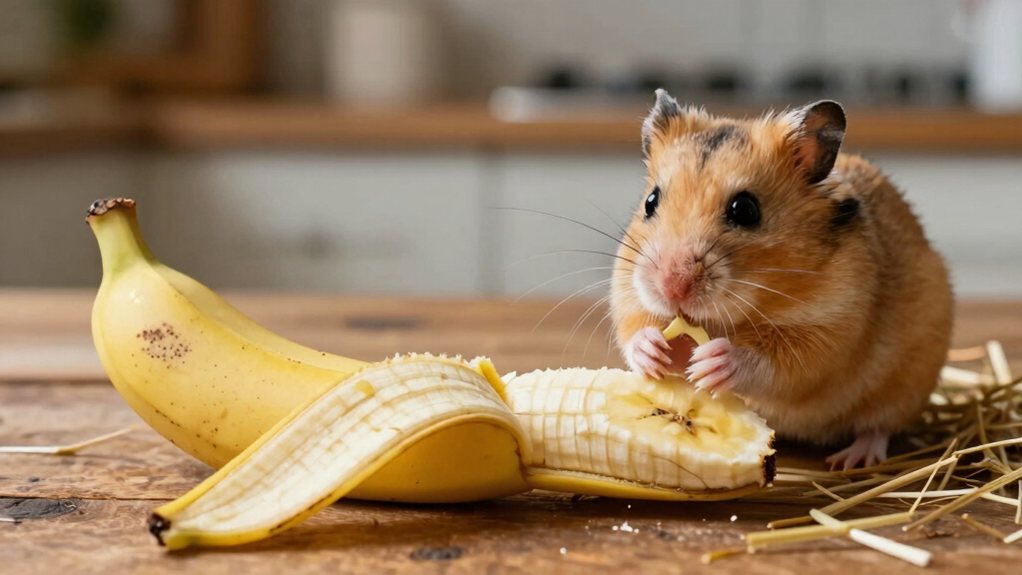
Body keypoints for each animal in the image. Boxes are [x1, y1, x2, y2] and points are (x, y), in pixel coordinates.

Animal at [611, 89, 953, 469]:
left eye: (745, 209)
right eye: (650, 201)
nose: (672, 288)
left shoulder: (831, 331)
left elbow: (777, 364)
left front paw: (711, 363)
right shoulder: (627, 290)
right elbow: (633, 328)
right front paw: (653, 351)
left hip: (904, 387)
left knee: (879, 427)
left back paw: (851, 459)